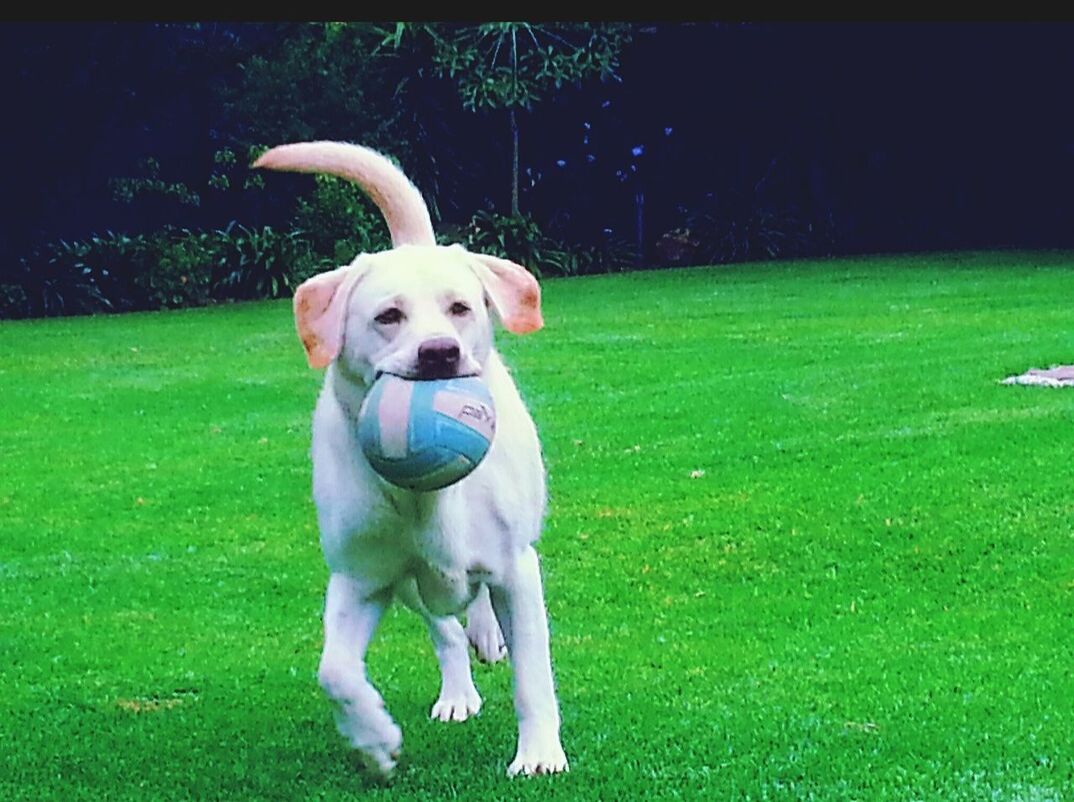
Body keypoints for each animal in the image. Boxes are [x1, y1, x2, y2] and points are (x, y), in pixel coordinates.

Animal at [252, 142, 571, 777]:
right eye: (388, 316)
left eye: (460, 308)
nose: (440, 353)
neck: (425, 498)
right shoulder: (361, 577)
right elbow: (335, 672)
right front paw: (373, 741)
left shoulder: (517, 568)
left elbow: (533, 677)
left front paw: (539, 755)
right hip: (410, 586)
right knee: (443, 628)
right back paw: (458, 694)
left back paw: (488, 636)